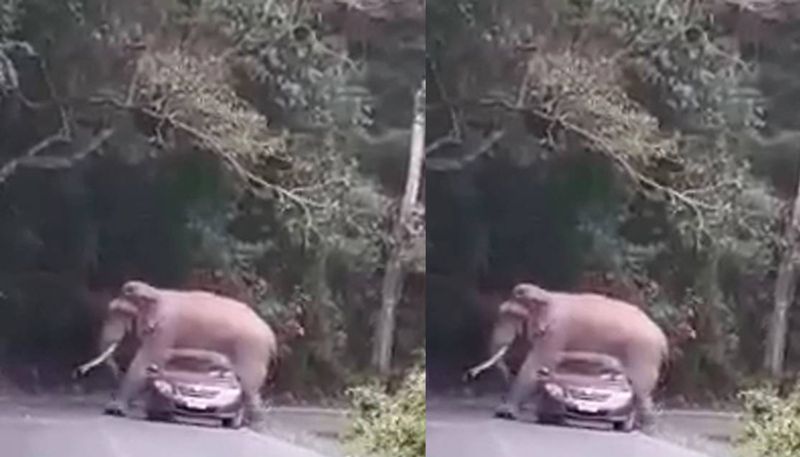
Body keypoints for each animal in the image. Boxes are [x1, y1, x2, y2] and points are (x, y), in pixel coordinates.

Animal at [75, 280, 280, 422]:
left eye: (122, 313)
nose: (78, 372)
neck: (155, 292)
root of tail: (271, 336)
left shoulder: (165, 330)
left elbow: (143, 363)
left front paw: (114, 410)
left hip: (252, 349)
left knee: (249, 386)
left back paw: (255, 425)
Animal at [494, 282, 668, 428]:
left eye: (513, 315)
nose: (507, 372)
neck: (547, 295)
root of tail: (662, 338)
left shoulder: (556, 334)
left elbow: (534, 365)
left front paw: (506, 413)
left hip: (643, 352)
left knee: (640, 388)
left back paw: (645, 428)